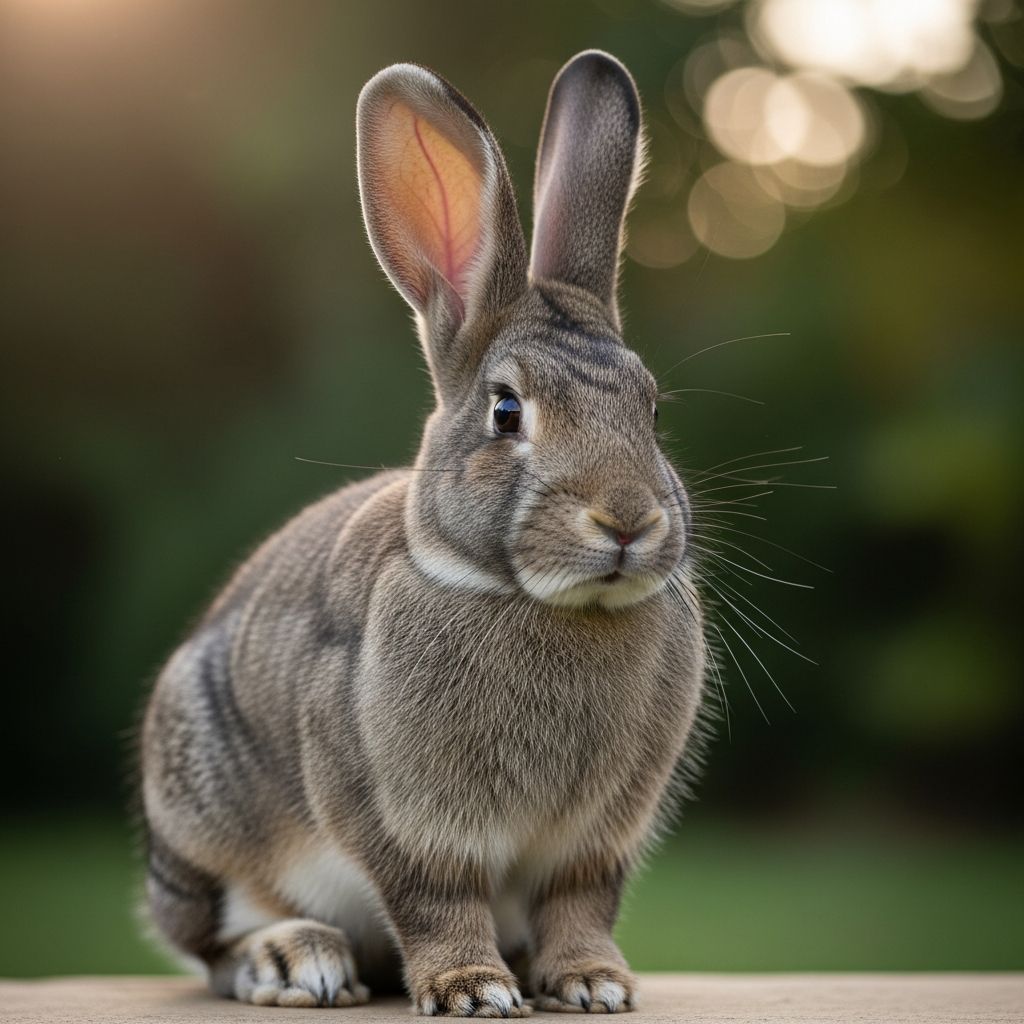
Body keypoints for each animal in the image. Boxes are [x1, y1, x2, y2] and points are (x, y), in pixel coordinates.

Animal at [140, 50, 705, 1016]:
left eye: (654, 410)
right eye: (507, 412)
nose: (629, 519)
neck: (544, 603)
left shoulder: (594, 845)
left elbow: (579, 905)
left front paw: (593, 982)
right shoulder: (402, 819)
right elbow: (436, 900)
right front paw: (472, 989)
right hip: (201, 824)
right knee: (214, 944)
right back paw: (296, 960)